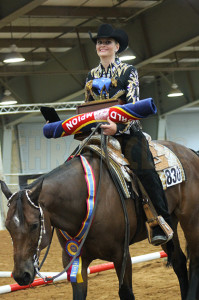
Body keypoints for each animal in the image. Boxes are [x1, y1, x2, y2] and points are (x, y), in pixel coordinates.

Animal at [1, 141, 199, 300]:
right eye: (8, 227)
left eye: (35, 225)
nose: (21, 275)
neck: (87, 200)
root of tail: (189, 152)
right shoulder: (73, 259)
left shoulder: (121, 255)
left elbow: (126, 293)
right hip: (169, 226)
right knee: (179, 262)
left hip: (191, 221)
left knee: (194, 261)